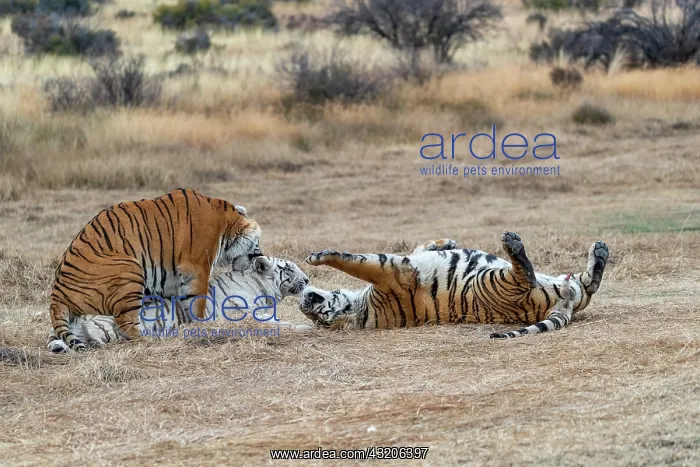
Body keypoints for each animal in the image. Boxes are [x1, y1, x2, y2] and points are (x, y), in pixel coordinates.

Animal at [49, 188, 263, 352]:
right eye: (258, 242)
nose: (260, 256)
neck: (223, 221)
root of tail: (57, 295)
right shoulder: (197, 266)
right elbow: (198, 301)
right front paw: (203, 325)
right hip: (130, 270)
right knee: (125, 322)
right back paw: (149, 340)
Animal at [298, 231, 609, 338]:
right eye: (320, 318)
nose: (305, 301)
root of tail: (563, 304)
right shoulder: (391, 270)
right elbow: (351, 260)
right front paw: (317, 257)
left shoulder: (401, 265)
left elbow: (420, 246)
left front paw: (445, 243)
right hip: (493, 281)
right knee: (526, 275)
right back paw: (512, 244)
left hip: (574, 289)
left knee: (588, 284)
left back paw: (601, 252)